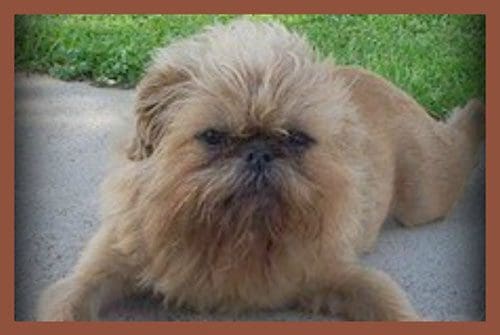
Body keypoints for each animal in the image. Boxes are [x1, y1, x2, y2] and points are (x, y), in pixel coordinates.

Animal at [36, 19, 484, 322]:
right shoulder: (95, 273)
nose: (259, 153)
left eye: (297, 139)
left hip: (427, 195)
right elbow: (66, 302)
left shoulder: (343, 275)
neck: (230, 235)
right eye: (213, 136)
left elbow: (389, 302)